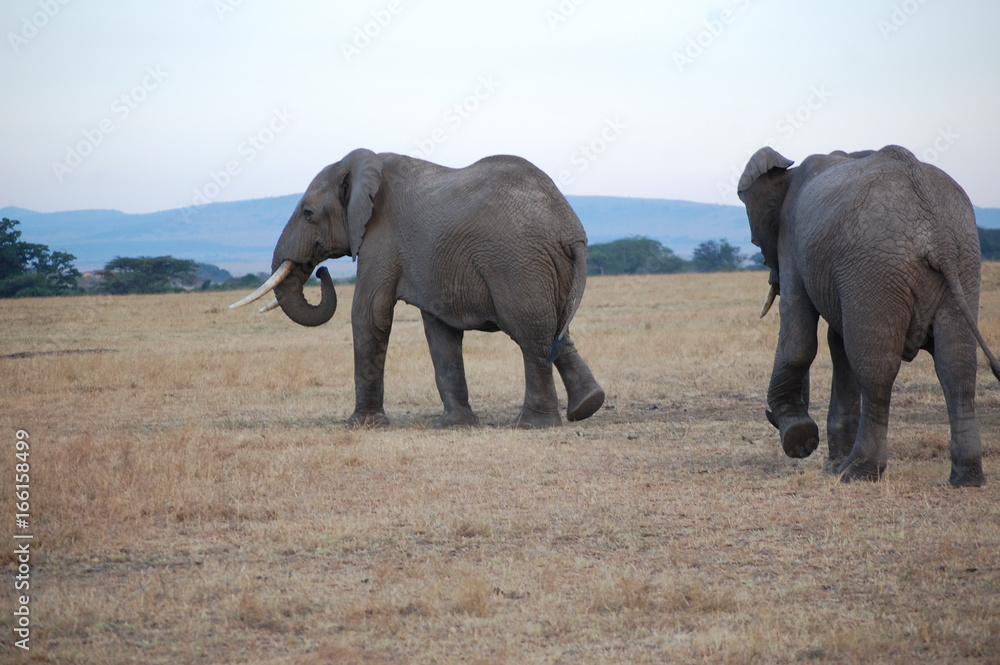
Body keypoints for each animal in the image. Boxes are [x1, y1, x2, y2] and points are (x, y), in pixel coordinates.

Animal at [231, 148, 605, 429]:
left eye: (308, 214)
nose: (322, 270)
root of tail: (569, 226)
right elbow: (439, 330)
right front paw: (455, 425)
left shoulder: (381, 235)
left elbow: (370, 313)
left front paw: (362, 425)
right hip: (547, 268)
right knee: (554, 330)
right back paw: (588, 405)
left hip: (517, 262)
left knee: (528, 331)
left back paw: (533, 425)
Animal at [738, 145, 1000, 486]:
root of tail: (934, 229)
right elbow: (838, 343)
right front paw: (829, 461)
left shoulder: (792, 243)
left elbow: (798, 336)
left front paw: (799, 437)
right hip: (962, 260)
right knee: (957, 365)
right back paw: (965, 479)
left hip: (877, 266)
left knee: (877, 369)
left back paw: (858, 472)